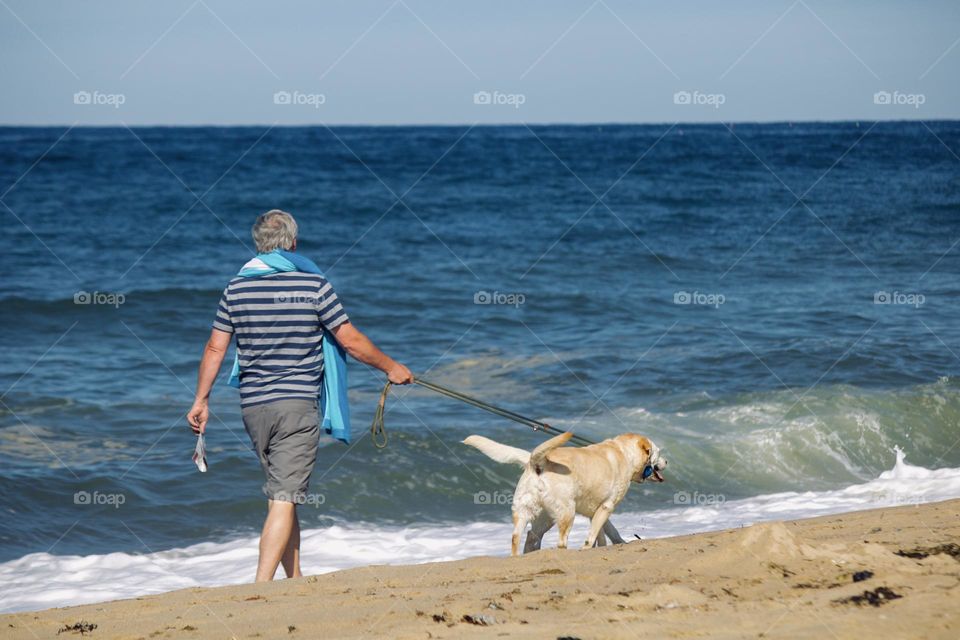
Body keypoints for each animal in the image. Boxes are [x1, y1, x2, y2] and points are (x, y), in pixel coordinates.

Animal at [462, 432, 664, 556]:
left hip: (533, 512)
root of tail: (538, 462)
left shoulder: (597, 510)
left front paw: (613, 544)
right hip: (567, 512)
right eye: (658, 453)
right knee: (560, 540)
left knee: (521, 536)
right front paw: (589, 547)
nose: (667, 462)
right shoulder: (607, 506)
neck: (623, 452)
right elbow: (594, 534)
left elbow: (604, 532)